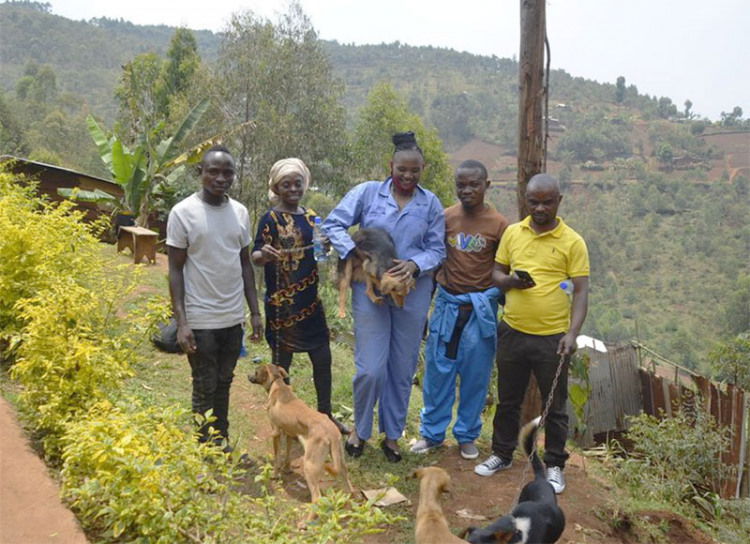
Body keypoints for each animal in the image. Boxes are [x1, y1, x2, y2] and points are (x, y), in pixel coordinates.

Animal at [247, 364, 352, 508]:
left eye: (256, 371)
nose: (248, 376)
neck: (277, 384)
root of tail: (332, 431)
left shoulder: (276, 433)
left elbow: (277, 457)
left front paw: (275, 474)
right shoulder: (289, 434)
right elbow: (287, 455)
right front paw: (287, 469)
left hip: (309, 465)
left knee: (317, 497)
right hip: (340, 459)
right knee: (348, 482)